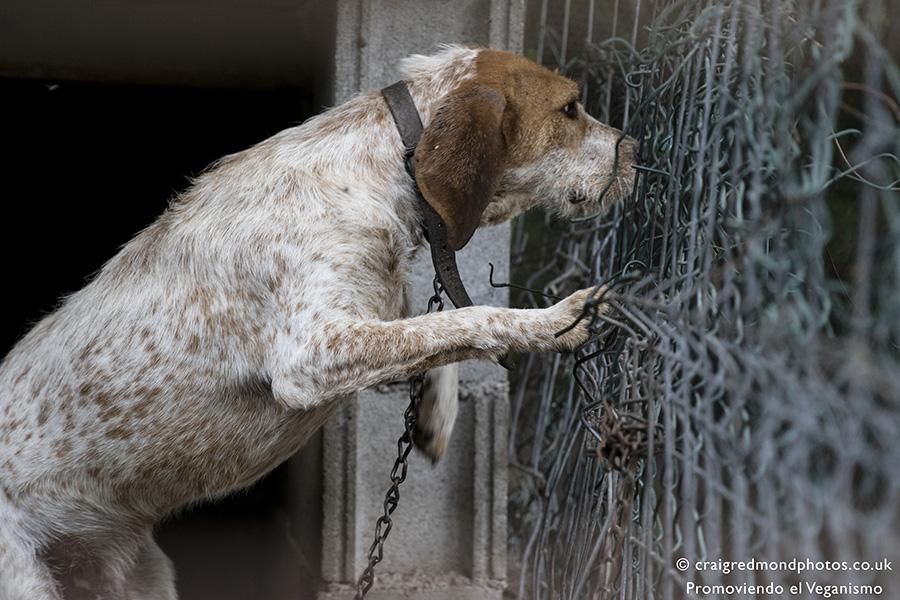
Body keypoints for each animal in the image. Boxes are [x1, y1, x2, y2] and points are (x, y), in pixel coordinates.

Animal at [0, 47, 636, 600]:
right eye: (570, 109)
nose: (633, 149)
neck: (378, 171)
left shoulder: (369, 319)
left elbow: (434, 327)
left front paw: (437, 414)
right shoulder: (313, 354)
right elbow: (473, 316)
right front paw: (556, 319)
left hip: (141, 580)